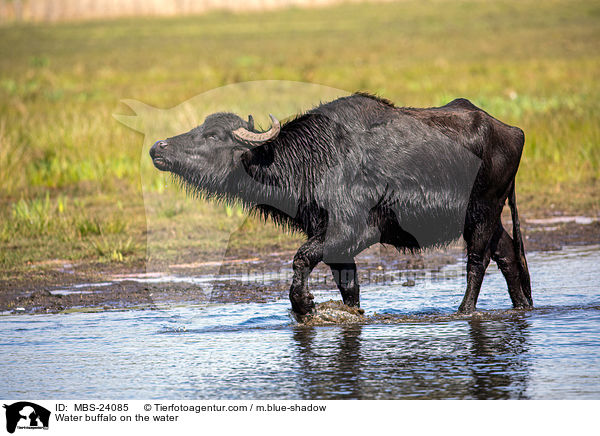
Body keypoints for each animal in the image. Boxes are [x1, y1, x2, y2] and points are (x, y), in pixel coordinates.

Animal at [151, 93, 536, 316]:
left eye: (214, 136)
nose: (158, 147)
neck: (312, 158)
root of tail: (512, 131)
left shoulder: (350, 232)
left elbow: (302, 258)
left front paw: (303, 304)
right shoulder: (335, 243)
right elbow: (349, 287)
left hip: (483, 212)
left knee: (478, 261)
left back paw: (463, 311)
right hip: (489, 216)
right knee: (507, 254)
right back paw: (522, 307)